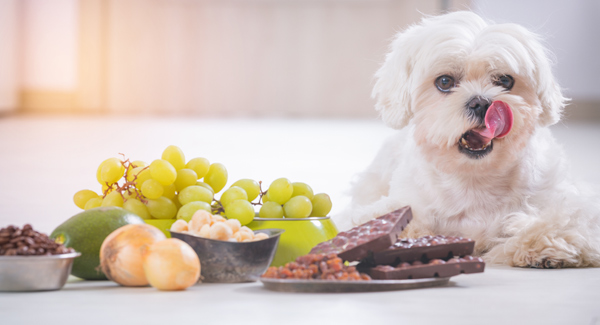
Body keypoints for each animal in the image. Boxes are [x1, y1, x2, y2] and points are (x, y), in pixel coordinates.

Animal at [336, 11, 600, 268]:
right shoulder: (402, 202)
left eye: (505, 81)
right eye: (444, 82)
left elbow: (563, 220)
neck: (474, 178)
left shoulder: (565, 202)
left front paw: (542, 244)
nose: (481, 103)